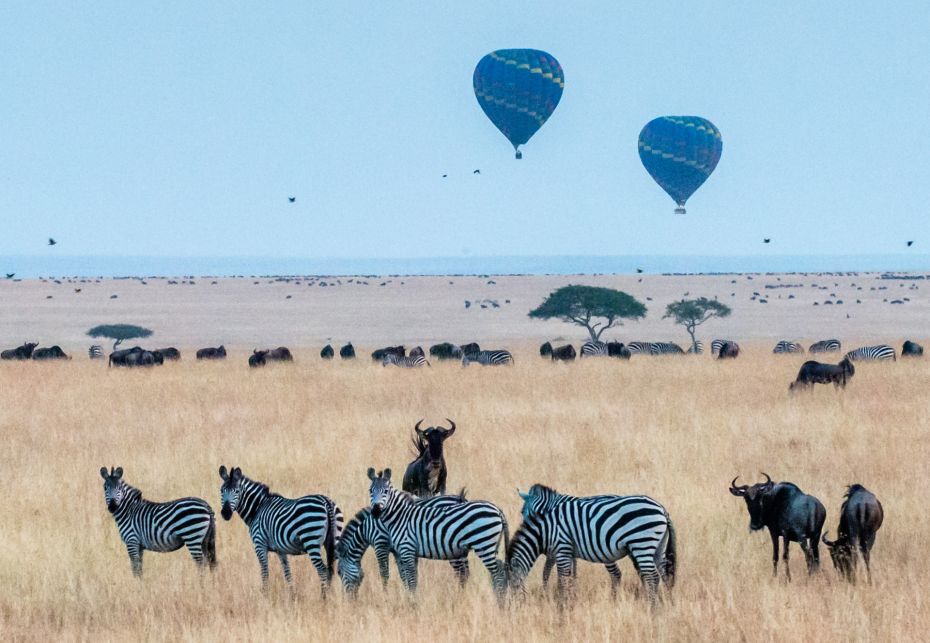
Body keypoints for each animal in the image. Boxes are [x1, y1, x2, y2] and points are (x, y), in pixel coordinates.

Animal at [219, 466, 342, 596]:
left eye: (237, 491)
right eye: (221, 491)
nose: (226, 513)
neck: (258, 508)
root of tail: (326, 502)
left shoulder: (259, 544)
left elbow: (265, 572)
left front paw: (265, 595)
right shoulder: (281, 550)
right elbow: (287, 573)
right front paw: (292, 595)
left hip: (311, 540)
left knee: (323, 570)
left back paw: (324, 597)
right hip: (335, 541)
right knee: (335, 569)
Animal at [334, 494, 468, 600]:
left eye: (339, 572)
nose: (348, 600)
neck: (367, 528)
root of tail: (459, 498)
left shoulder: (380, 543)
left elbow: (384, 573)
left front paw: (385, 595)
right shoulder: (397, 550)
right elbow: (403, 574)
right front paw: (408, 594)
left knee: (462, 572)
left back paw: (460, 597)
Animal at [364, 468, 508, 600]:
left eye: (386, 491)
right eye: (370, 491)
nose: (376, 511)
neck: (400, 516)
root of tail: (497, 510)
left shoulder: (402, 548)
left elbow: (405, 578)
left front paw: (411, 601)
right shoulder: (402, 552)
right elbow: (407, 577)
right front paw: (408, 598)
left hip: (483, 544)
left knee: (497, 573)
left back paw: (500, 600)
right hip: (485, 546)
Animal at [508, 486, 676, 608]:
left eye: (522, 512)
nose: (514, 606)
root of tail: (661, 509)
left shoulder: (561, 547)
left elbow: (554, 573)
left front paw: (558, 599)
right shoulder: (567, 550)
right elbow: (569, 573)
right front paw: (568, 595)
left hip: (640, 543)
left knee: (647, 575)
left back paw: (650, 606)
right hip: (655, 547)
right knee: (662, 574)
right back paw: (667, 602)